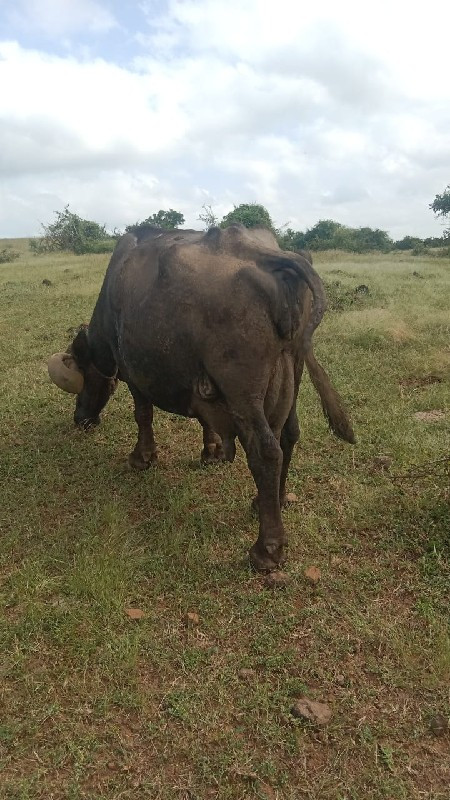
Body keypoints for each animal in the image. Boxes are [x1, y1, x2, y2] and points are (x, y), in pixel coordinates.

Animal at [46, 225, 356, 572]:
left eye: (84, 372)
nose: (81, 418)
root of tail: (272, 258)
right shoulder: (202, 382)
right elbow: (206, 422)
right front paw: (212, 451)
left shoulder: (133, 373)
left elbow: (143, 416)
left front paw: (142, 457)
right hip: (294, 368)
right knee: (289, 435)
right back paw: (270, 500)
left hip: (243, 392)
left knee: (266, 452)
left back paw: (267, 549)